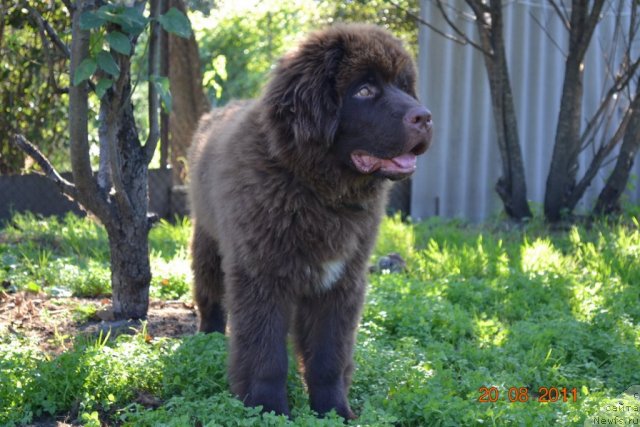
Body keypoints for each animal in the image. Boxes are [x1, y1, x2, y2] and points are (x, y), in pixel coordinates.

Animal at [188, 23, 432, 418]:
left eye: (403, 85)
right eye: (364, 90)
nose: (425, 117)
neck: (316, 192)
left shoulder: (340, 283)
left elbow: (329, 357)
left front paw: (335, 412)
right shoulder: (261, 276)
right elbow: (267, 354)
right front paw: (268, 410)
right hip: (208, 241)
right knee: (208, 294)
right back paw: (206, 339)